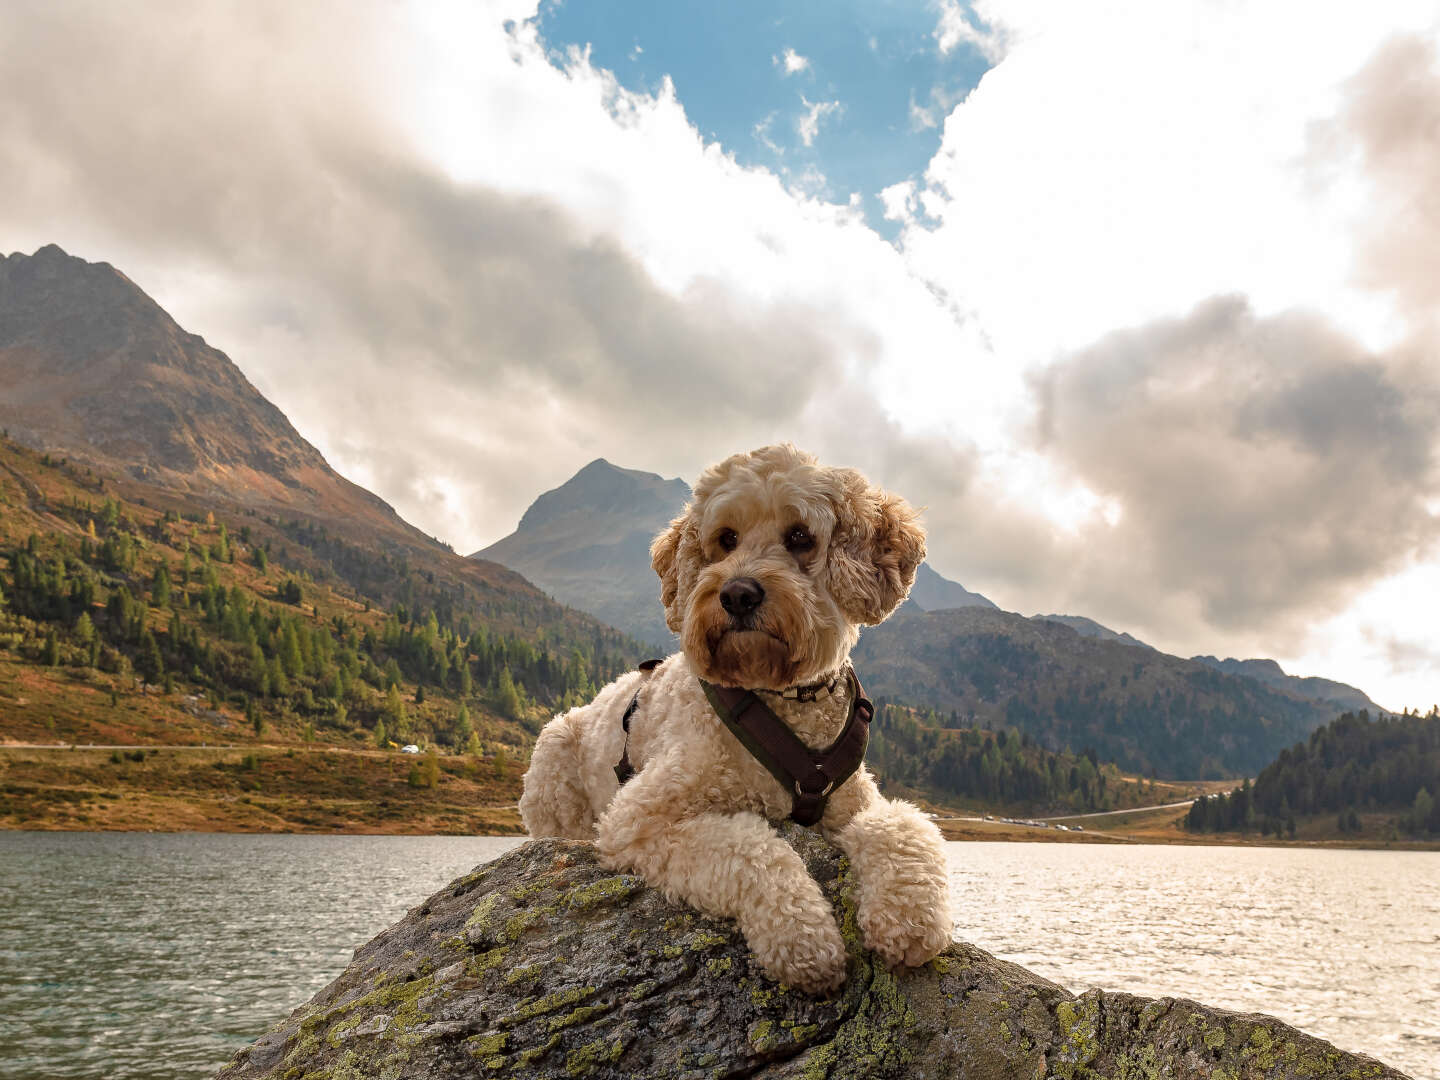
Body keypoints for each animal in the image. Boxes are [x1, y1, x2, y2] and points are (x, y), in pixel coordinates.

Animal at [521, 446, 956, 996]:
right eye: (726, 539)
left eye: (800, 536)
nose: (738, 594)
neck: (778, 698)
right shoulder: (641, 818)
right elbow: (751, 850)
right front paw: (803, 937)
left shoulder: (855, 802)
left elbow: (903, 824)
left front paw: (909, 919)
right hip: (554, 751)